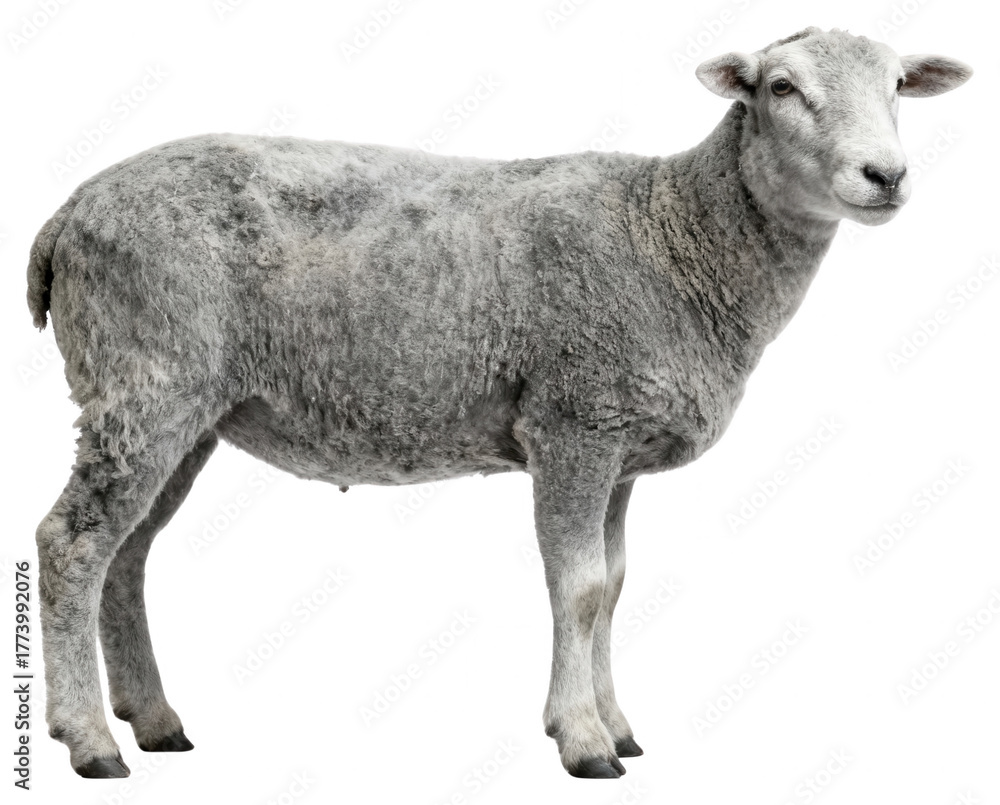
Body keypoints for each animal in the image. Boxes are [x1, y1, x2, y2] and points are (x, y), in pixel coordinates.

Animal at [27, 27, 970, 780]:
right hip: (145, 377)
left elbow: (613, 585)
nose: (885, 175)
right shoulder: (574, 421)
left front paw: (618, 725)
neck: (673, 236)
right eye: (781, 88)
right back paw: (90, 741)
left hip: (184, 408)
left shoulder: (619, 449)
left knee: (127, 553)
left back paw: (153, 721)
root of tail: (68, 213)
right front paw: (583, 740)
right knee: (73, 543)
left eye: (897, 84)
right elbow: (579, 587)